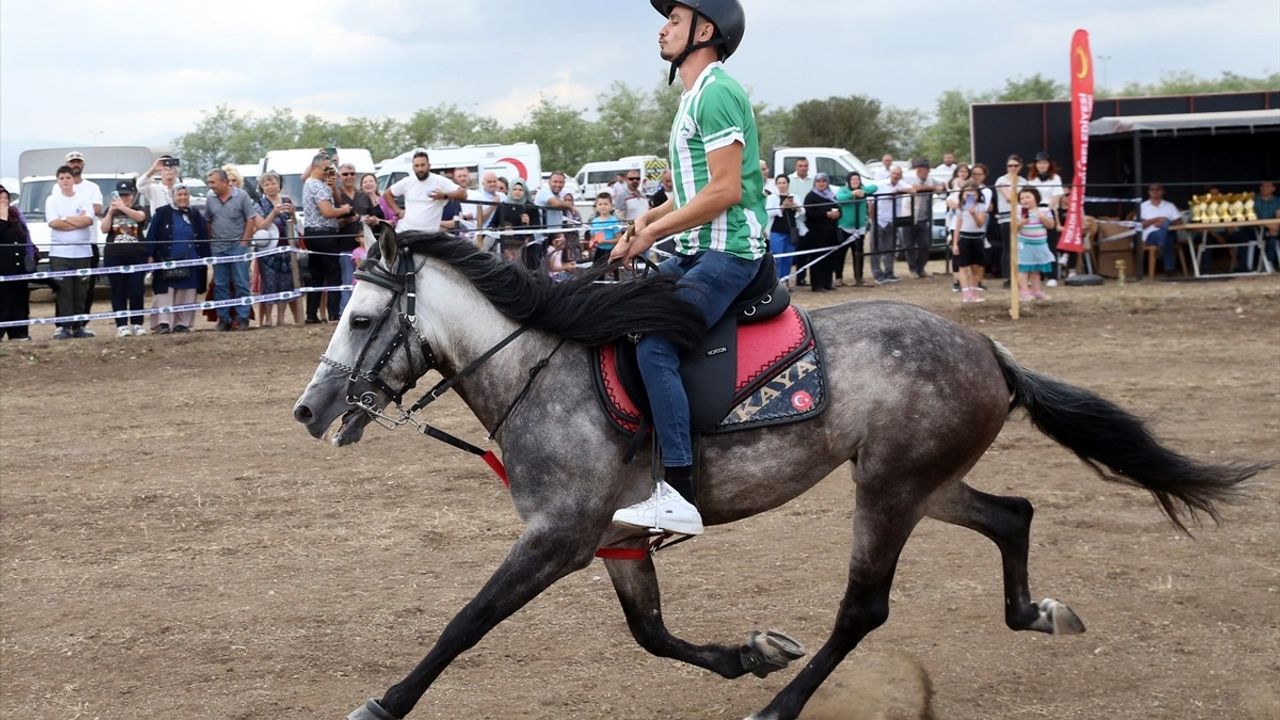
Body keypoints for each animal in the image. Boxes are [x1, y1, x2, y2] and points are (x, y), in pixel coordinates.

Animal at [294, 230, 1264, 717]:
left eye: (363, 316)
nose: (308, 409)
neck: (541, 370)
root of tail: (987, 346)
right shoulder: (613, 541)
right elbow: (652, 635)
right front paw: (747, 655)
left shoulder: (559, 538)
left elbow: (466, 623)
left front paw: (383, 706)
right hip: (924, 482)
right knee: (1013, 513)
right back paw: (1036, 612)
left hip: (889, 491)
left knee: (863, 610)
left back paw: (783, 710)